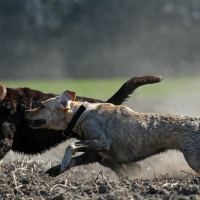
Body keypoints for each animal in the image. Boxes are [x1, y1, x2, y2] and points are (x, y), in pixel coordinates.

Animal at [25, 90, 200, 177]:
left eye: (42, 106)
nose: (26, 112)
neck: (81, 114)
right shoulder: (97, 153)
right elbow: (76, 158)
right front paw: (57, 169)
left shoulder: (102, 142)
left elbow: (71, 145)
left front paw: (64, 161)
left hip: (193, 158)